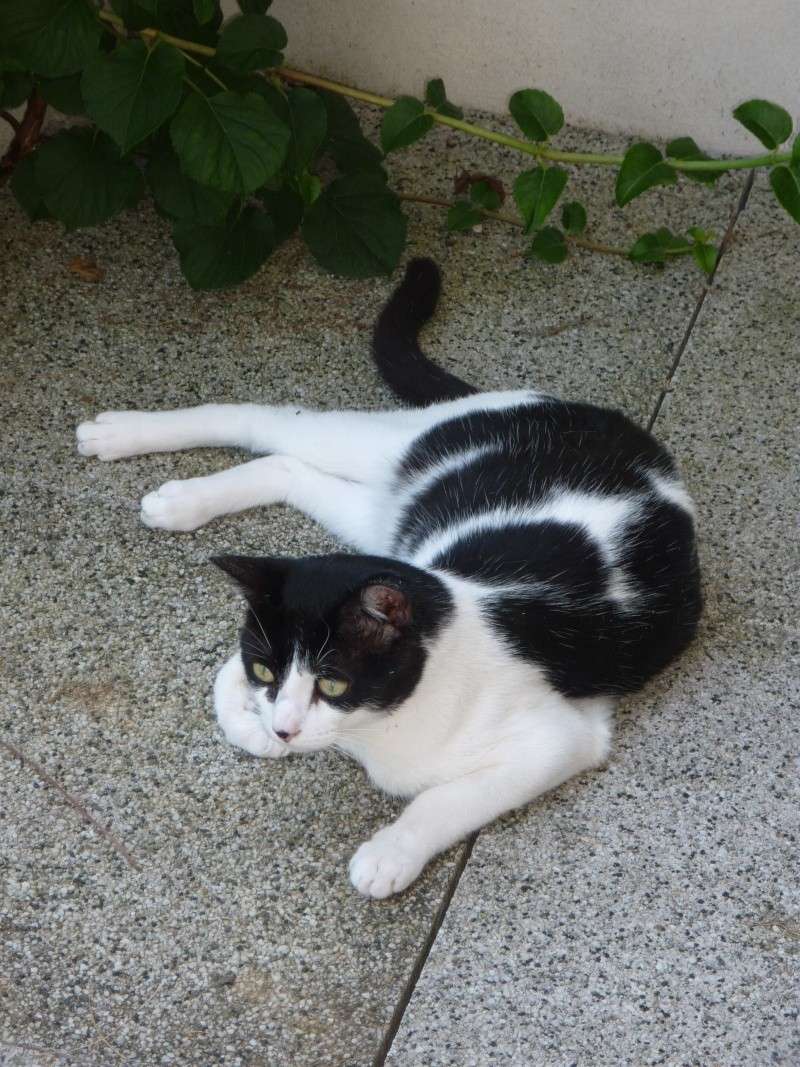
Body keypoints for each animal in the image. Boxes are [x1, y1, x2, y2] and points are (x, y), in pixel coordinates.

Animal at [75, 260, 699, 900]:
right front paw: (254, 725)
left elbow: (448, 799)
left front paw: (389, 853)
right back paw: (126, 439)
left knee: (289, 463)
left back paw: (176, 493)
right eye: (267, 670)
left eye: (333, 683)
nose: (285, 729)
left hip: (384, 512)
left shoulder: (557, 740)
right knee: (268, 422)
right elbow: (227, 683)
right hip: (388, 475)